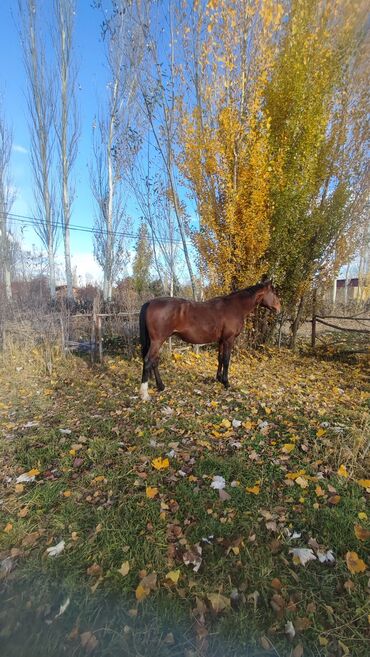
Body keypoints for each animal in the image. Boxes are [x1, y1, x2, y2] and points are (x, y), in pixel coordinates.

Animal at [139, 278, 280, 400]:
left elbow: (220, 358)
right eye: (273, 292)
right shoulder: (229, 339)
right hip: (157, 341)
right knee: (148, 361)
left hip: (157, 342)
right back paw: (145, 394)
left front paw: (219, 378)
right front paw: (226, 383)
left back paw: (161, 386)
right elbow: (227, 360)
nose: (279, 308)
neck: (235, 307)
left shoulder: (222, 340)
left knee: (155, 361)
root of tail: (150, 302)